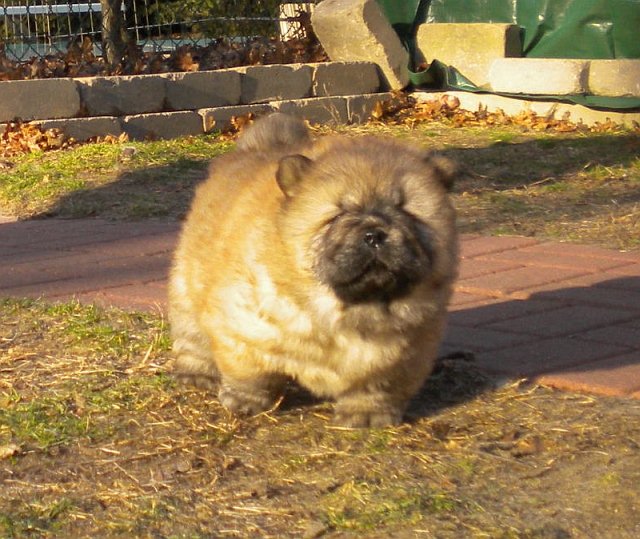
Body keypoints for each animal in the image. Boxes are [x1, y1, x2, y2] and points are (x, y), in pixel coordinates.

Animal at [168, 113, 458, 426]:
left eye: (406, 212)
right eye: (337, 215)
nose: (375, 234)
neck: (347, 316)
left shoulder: (403, 355)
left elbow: (375, 386)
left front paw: (367, 416)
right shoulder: (242, 328)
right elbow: (251, 374)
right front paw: (244, 401)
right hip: (186, 288)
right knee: (192, 338)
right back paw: (196, 375)